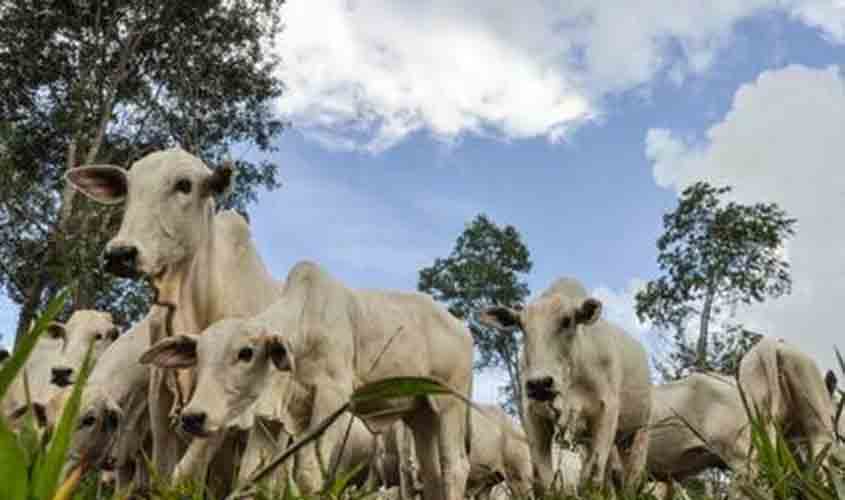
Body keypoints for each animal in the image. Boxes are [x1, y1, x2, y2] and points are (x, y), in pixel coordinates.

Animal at [66, 148, 284, 484]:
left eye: (184, 185)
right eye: (128, 187)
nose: (120, 254)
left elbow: (187, 470)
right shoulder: (159, 395)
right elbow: (163, 468)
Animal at [144, 260, 474, 500]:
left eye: (246, 352)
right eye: (198, 356)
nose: (193, 417)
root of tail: (461, 327)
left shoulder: (333, 397)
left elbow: (307, 475)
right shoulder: (274, 417)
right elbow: (251, 475)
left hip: (449, 403)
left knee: (455, 467)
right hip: (420, 414)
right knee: (431, 473)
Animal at [478, 278, 648, 492]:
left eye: (567, 321)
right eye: (521, 326)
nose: (540, 384)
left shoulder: (607, 411)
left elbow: (593, 476)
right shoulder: (533, 417)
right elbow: (547, 479)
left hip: (639, 432)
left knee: (632, 475)